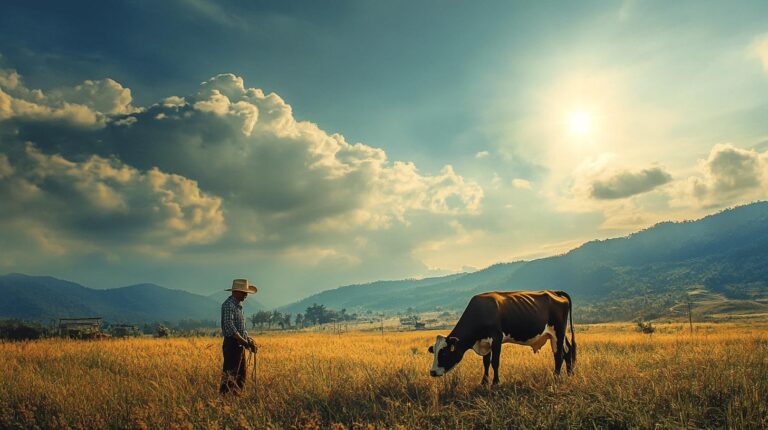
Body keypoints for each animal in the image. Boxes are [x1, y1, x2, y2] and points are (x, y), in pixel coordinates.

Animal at [428, 290, 575, 385]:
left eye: (444, 353)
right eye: (434, 352)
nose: (432, 372)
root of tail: (554, 292)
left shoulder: (496, 339)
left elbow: (495, 362)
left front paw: (495, 382)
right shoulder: (485, 343)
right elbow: (486, 362)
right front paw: (484, 382)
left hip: (558, 332)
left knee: (559, 355)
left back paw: (556, 377)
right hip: (556, 335)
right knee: (567, 351)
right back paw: (569, 375)